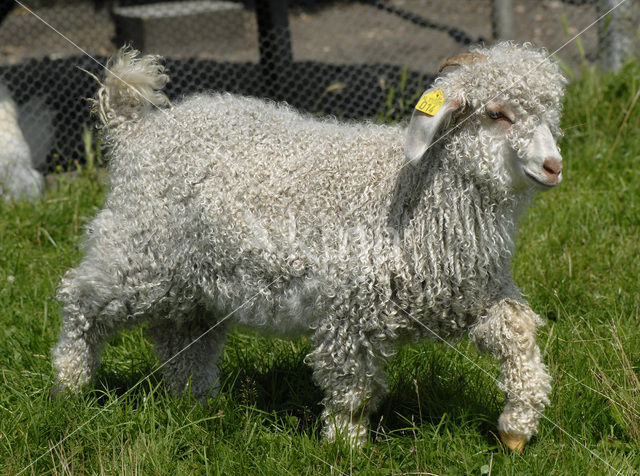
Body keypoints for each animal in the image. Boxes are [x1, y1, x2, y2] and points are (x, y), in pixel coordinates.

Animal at [53, 42, 564, 452]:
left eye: (550, 116)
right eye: (497, 114)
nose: (553, 166)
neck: (415, 194)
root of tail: (136, 131)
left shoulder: (474, 294)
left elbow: (518, 335)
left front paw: (516, 429)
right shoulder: (350, 311)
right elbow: (351, 387)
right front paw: (346, 447)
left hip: (194, 280)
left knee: (182, 336)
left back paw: (196, 403)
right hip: (137, 251)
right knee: (82, 301)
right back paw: (69, 387)